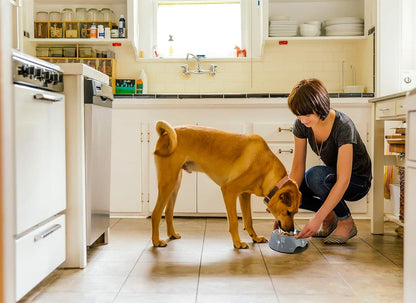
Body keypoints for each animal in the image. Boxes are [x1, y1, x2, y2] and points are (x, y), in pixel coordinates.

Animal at [151, 121, 300, 249]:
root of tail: (165, 134)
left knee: (168, 212)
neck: (266, 168)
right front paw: (238, 243)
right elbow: (234, 221)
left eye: (295, 213)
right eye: (288, 212)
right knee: (156, 213)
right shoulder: (229, 191)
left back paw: (172, 234)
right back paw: (156, 241)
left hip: (175, 184)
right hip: (168, 183)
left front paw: (255, 238)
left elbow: (248, 220)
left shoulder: (244, 195)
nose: (291, 230)